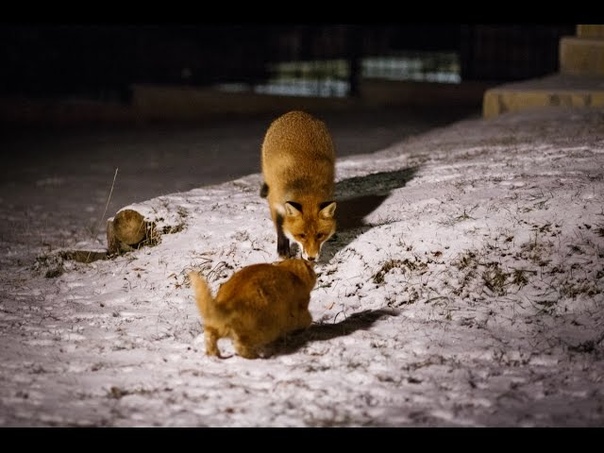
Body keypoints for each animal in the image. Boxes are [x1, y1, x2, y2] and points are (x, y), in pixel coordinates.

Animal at [258, 109, 338, 262]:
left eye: (320, 235)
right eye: (301, 235)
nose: (311, 258)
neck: (305, 183)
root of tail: (297, 111)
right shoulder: (274, 201)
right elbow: (280, 227)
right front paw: (283, 250)